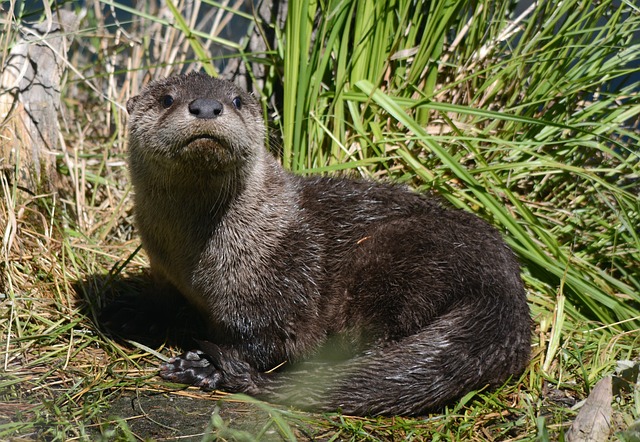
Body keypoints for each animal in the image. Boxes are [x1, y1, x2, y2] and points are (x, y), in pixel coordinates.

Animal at [124, 71, 528, 416]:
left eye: (237, 100)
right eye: (166, 99)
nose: (207, 106)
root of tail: (504, 290)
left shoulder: (279, 284)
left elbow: (268, 342)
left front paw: (203, 365)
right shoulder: (165, 273)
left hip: (397, 256)